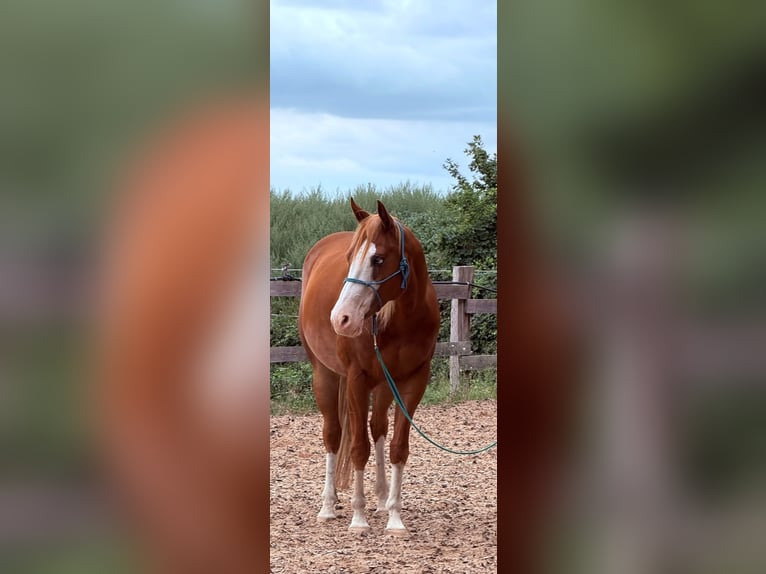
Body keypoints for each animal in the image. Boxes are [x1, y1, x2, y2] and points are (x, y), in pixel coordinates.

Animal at [298, 198, 440, 535]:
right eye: (350, 258)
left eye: (378, 259)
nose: (341, 319)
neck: (401, 321)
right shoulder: (356, 380)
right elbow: (358, 448)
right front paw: (358, 518)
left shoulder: (413, 381)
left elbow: (398, 447)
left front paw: (395, 518)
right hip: (325, 376)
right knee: (334, 434)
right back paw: (328, 505)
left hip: (384, 385)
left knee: (377, 429)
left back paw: (381, 498)